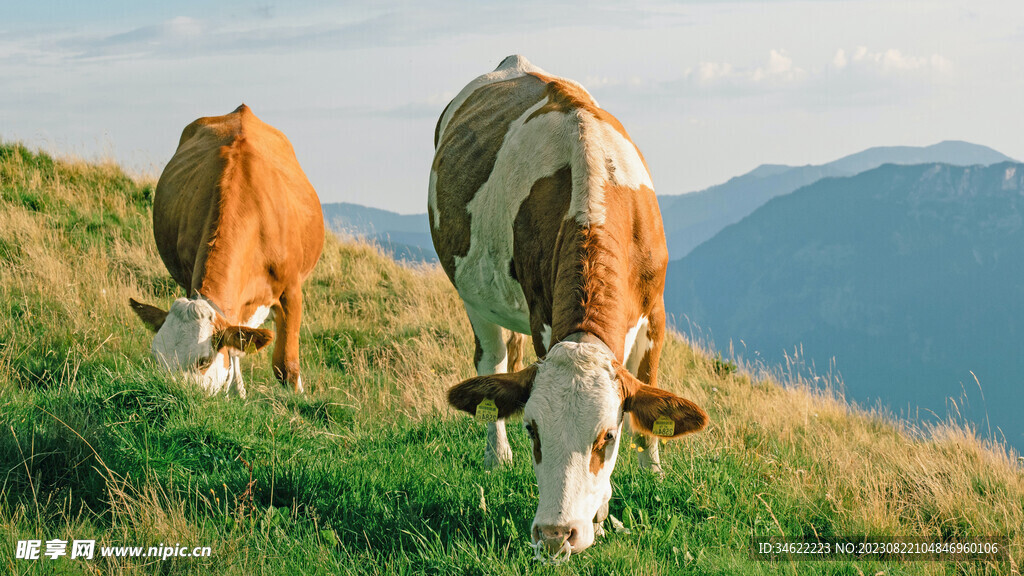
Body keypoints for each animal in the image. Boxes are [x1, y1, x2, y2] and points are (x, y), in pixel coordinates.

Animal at [130, 104, 323, 393]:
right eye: (156, 359)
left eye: (203, 361)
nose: (170, 396)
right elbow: (233, 349)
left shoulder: (291, 290)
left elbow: (286, 366)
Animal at [428, 56, 708, 557]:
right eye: (532, 429)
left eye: (608, 437)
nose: (556, 535)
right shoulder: (543, 315)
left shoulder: (655, 310)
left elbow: (650, 391)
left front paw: (651, 476)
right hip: (474, 298)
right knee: (492, 360)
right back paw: (496, 456)